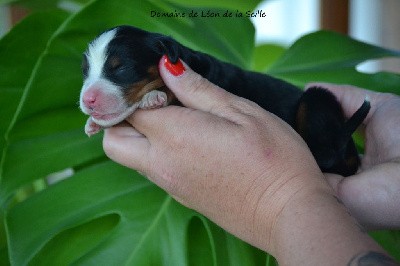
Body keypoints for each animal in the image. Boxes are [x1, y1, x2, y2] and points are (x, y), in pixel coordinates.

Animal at [79, 25, 370, 177]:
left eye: (121, 68)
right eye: (85, 71)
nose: (87, 100)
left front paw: (154, 95)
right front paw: (94, 124)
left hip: (316, 98)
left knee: (327, 154)